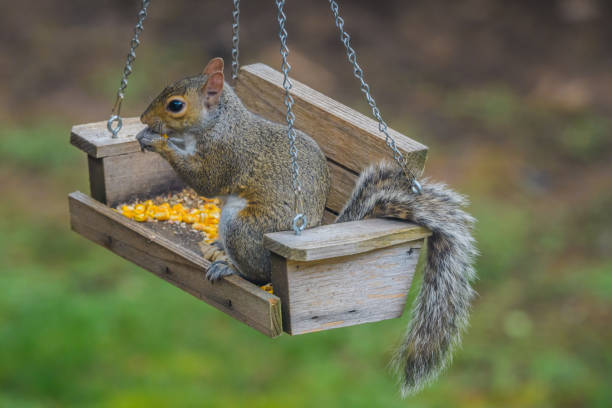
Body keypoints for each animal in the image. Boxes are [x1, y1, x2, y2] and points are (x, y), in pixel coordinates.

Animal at [136, 56, 476, 396]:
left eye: (176, 105)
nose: (142, 117)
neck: (219, 122)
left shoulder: (225, 154)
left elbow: (204, 181)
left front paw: (157, 142)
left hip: (243, 228)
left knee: (259, 275)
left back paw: (230, 268)